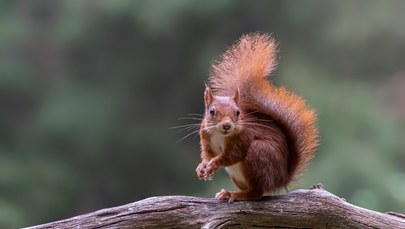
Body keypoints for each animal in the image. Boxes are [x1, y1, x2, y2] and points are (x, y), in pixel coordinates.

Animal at [196, 32, 318, 202]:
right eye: (212, 111)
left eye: (238, 112)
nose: (227, 125)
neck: (221, 135)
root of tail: (282, 178)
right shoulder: (206, 137)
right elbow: (208, 153)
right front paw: (202, 167)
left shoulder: (243, 139)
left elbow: (231, 155)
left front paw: (214, 164)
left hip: (260, 153)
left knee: (256, 192)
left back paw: (235, 194)